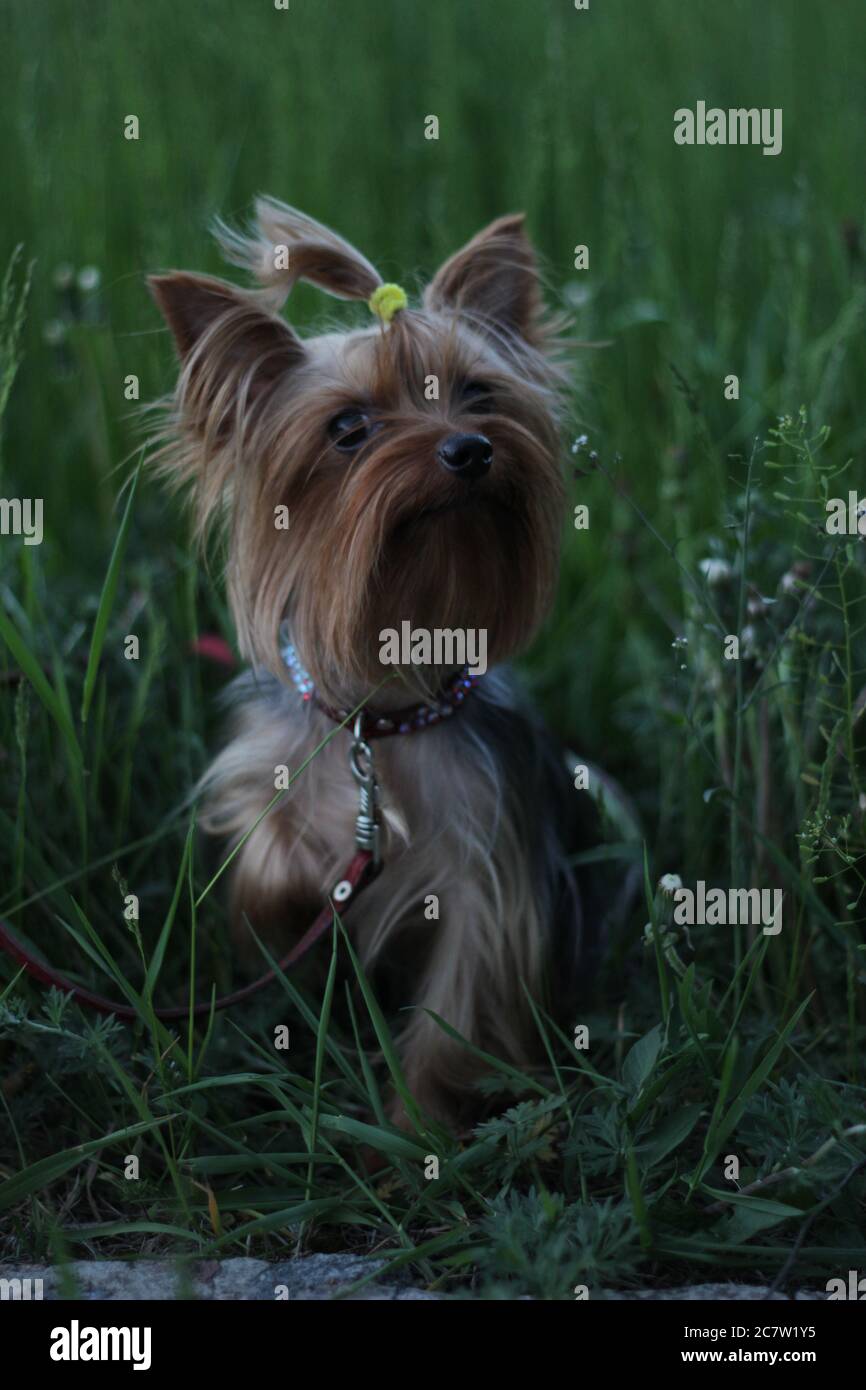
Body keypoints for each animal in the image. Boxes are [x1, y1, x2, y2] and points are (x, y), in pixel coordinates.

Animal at [148, 198, 608, 1128]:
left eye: (479, 393)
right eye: (348, 429)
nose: (470, 449)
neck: (384, 712)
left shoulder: (488, 866)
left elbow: (459, 1002)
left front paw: (410, 1131)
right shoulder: (266, 764)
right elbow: (265, 844)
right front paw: (306, 882)